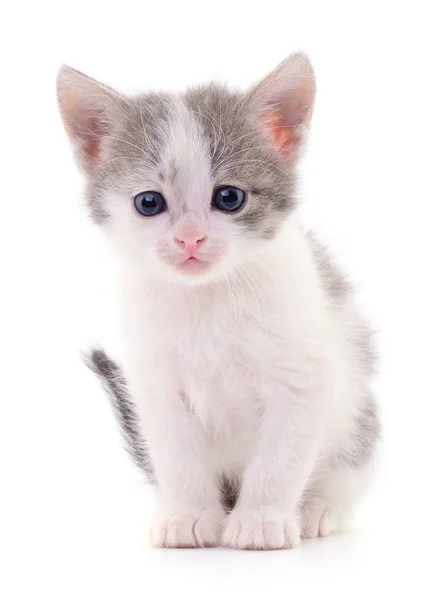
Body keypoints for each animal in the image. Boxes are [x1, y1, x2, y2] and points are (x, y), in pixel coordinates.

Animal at [56, 54, 378, 552]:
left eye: (229, 197)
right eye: (148, 203)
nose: (190, 238)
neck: (207, 299)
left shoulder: (302, 377)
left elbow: (281, 457)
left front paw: (262, 520)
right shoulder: (155, 386)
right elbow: (178, 458)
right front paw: (189, 516)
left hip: (357, 416)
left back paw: (318, 509)